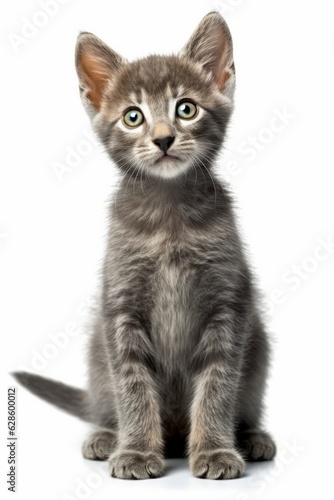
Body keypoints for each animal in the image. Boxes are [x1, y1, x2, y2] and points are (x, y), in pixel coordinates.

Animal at [13, 12, 276, 480]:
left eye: (185, 108)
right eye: (133, 117)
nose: (163, 138)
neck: (168, 219)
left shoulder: (229, 305)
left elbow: (218, 383)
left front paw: (214, 450)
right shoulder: (120, 307)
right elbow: (132, 383)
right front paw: (135, 450)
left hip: (259, 345)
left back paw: (250, 436)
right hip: (96, 352)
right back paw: (106, 435)